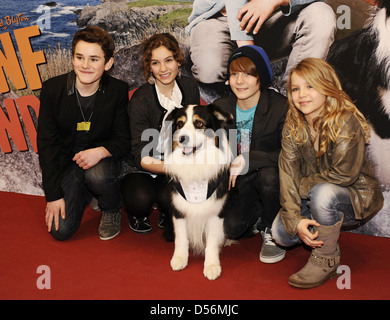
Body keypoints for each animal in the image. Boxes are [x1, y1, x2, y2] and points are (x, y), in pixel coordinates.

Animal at [164, 104, 233, 278]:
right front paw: (180, 258)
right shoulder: (178, 209)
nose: (182, 138)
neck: (194, 164)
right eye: (180, 124)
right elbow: (181, 238)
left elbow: (212, 241)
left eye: (199, 124)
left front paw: (212, 265)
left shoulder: (216, 211)